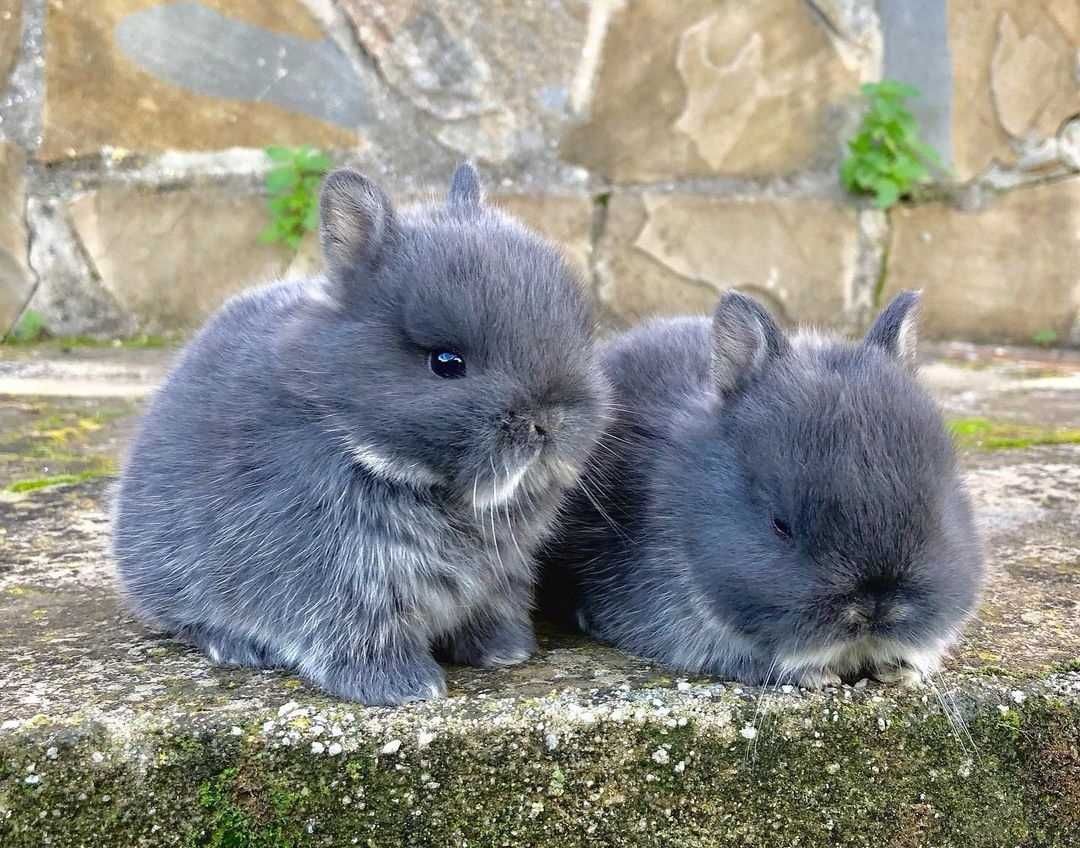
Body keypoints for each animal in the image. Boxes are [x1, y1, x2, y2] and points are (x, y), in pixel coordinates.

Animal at [116, 162, 617, 704]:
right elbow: (360, 632)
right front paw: (406, 686)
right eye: (446, 362)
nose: (550, 421)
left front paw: (505, 651)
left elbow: (490, 611)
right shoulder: (342, 580)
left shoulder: (500, 578)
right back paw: (235, 647)